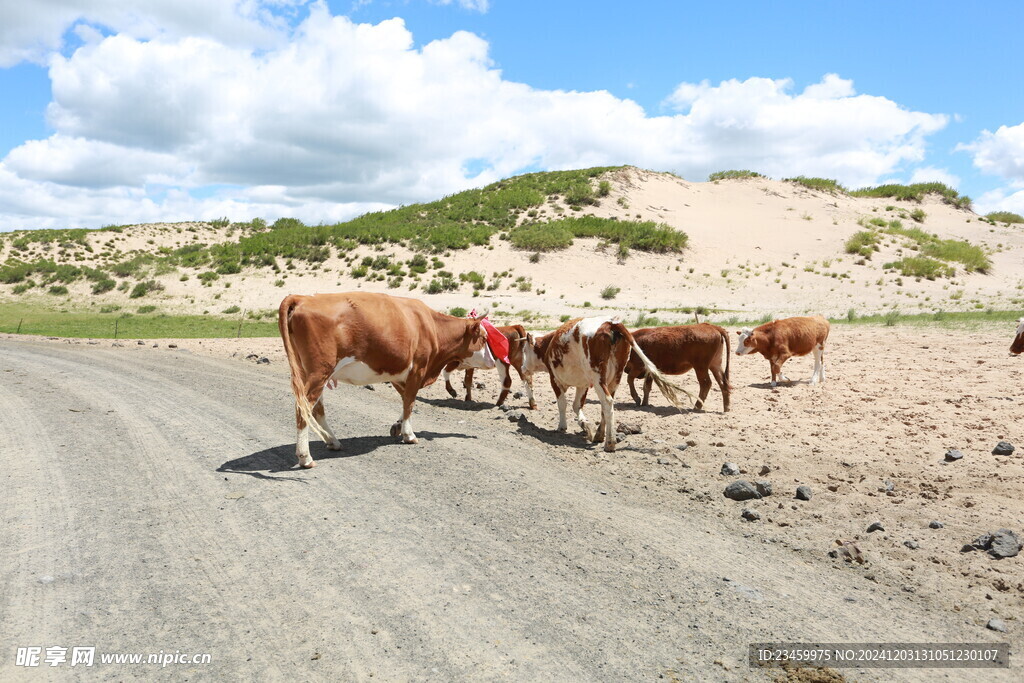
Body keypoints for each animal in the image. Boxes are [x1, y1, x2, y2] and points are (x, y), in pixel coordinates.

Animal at [280, 290, 487, 466]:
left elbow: (405, 400)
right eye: (484, 338)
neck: (431, 326)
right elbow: (410, 402)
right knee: (303, 408)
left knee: (316, 409)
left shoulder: (398, 372)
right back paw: (305, 457)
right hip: (319, 372)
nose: (492, 361)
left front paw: (398, 426)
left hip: (310, 372)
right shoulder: (418, 369)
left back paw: (332, 441)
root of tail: (302, 298)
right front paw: (409, 435)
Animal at [532, 317, 692, 454]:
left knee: (607, 402)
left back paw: (609, 443)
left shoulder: (555, 379)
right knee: (606, 404)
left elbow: (563, 404)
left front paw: (562, 426)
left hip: (597, 376)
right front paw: (585, 426)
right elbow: (576, 405)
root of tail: (611, 323)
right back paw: (599, 435)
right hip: (615, 377)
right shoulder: (583, 384)